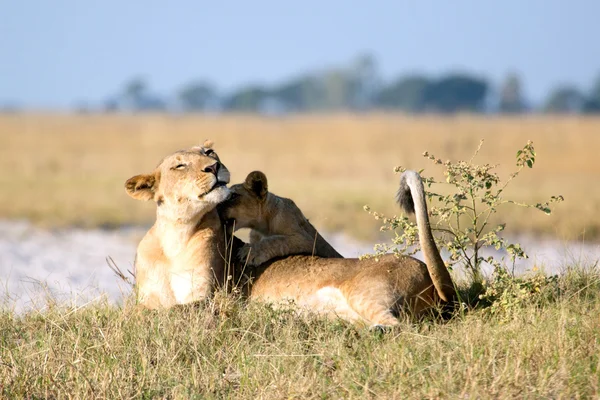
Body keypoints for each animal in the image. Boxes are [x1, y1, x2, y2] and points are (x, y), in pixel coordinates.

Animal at [125, 141, 232, 310]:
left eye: (209, 152)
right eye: (180, 166)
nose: (214, 167)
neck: (177, 233)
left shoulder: (205, 295)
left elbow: (174, 308)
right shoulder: (147, 296)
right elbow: (137, 310)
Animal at [218, 170, 458, 326]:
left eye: (234, 196)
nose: (218, 206)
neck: (263, 221)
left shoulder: (301, 236)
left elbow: (277, 242)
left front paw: (250, 252)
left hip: (366, 293)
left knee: (399, 326)